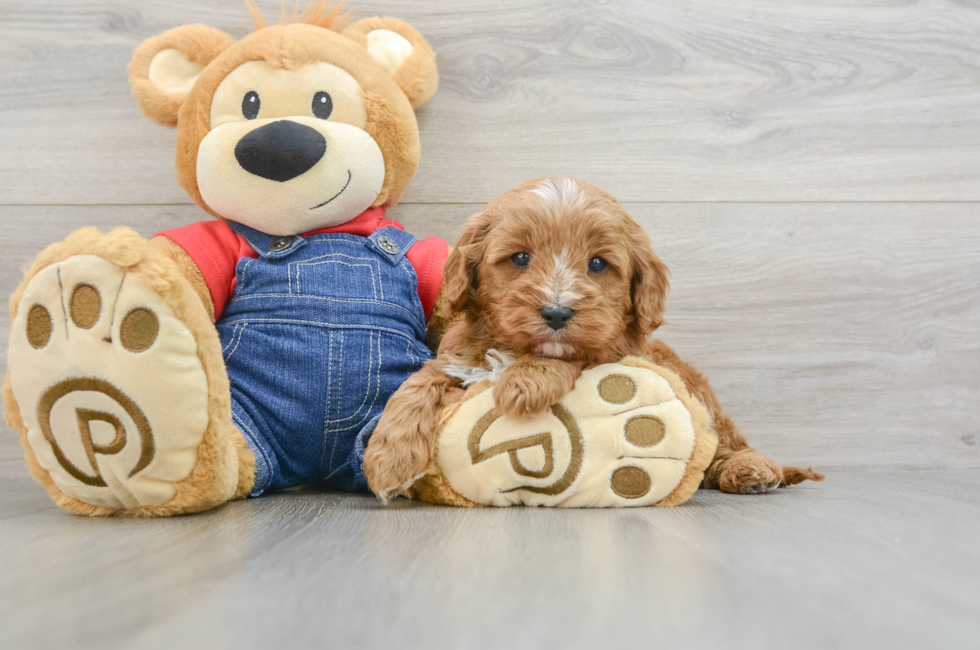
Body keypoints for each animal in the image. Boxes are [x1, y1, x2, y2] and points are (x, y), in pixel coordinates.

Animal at [364, 180, 824, 498]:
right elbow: (415, 385)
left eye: (598, 264)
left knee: (726, 439)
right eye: (520, 258)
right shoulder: (456, 359)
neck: (514, 347)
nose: (556, 313)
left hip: (696, 389)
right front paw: (387, 459)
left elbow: (574, 356)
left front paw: (525, 382)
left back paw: (750, 470)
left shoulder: (615, 351)